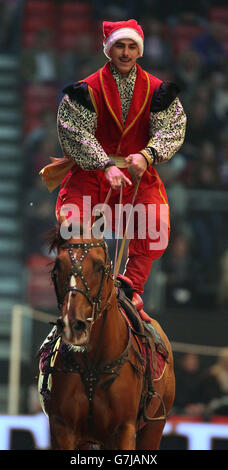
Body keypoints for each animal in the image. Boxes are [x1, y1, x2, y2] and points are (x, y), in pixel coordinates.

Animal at [38, 226, 175, 450]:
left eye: (99, 266)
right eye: (56, 268)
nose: (73, 324)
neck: (92, 366)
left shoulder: (124, 429)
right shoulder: (63, 428)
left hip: (154, 427)